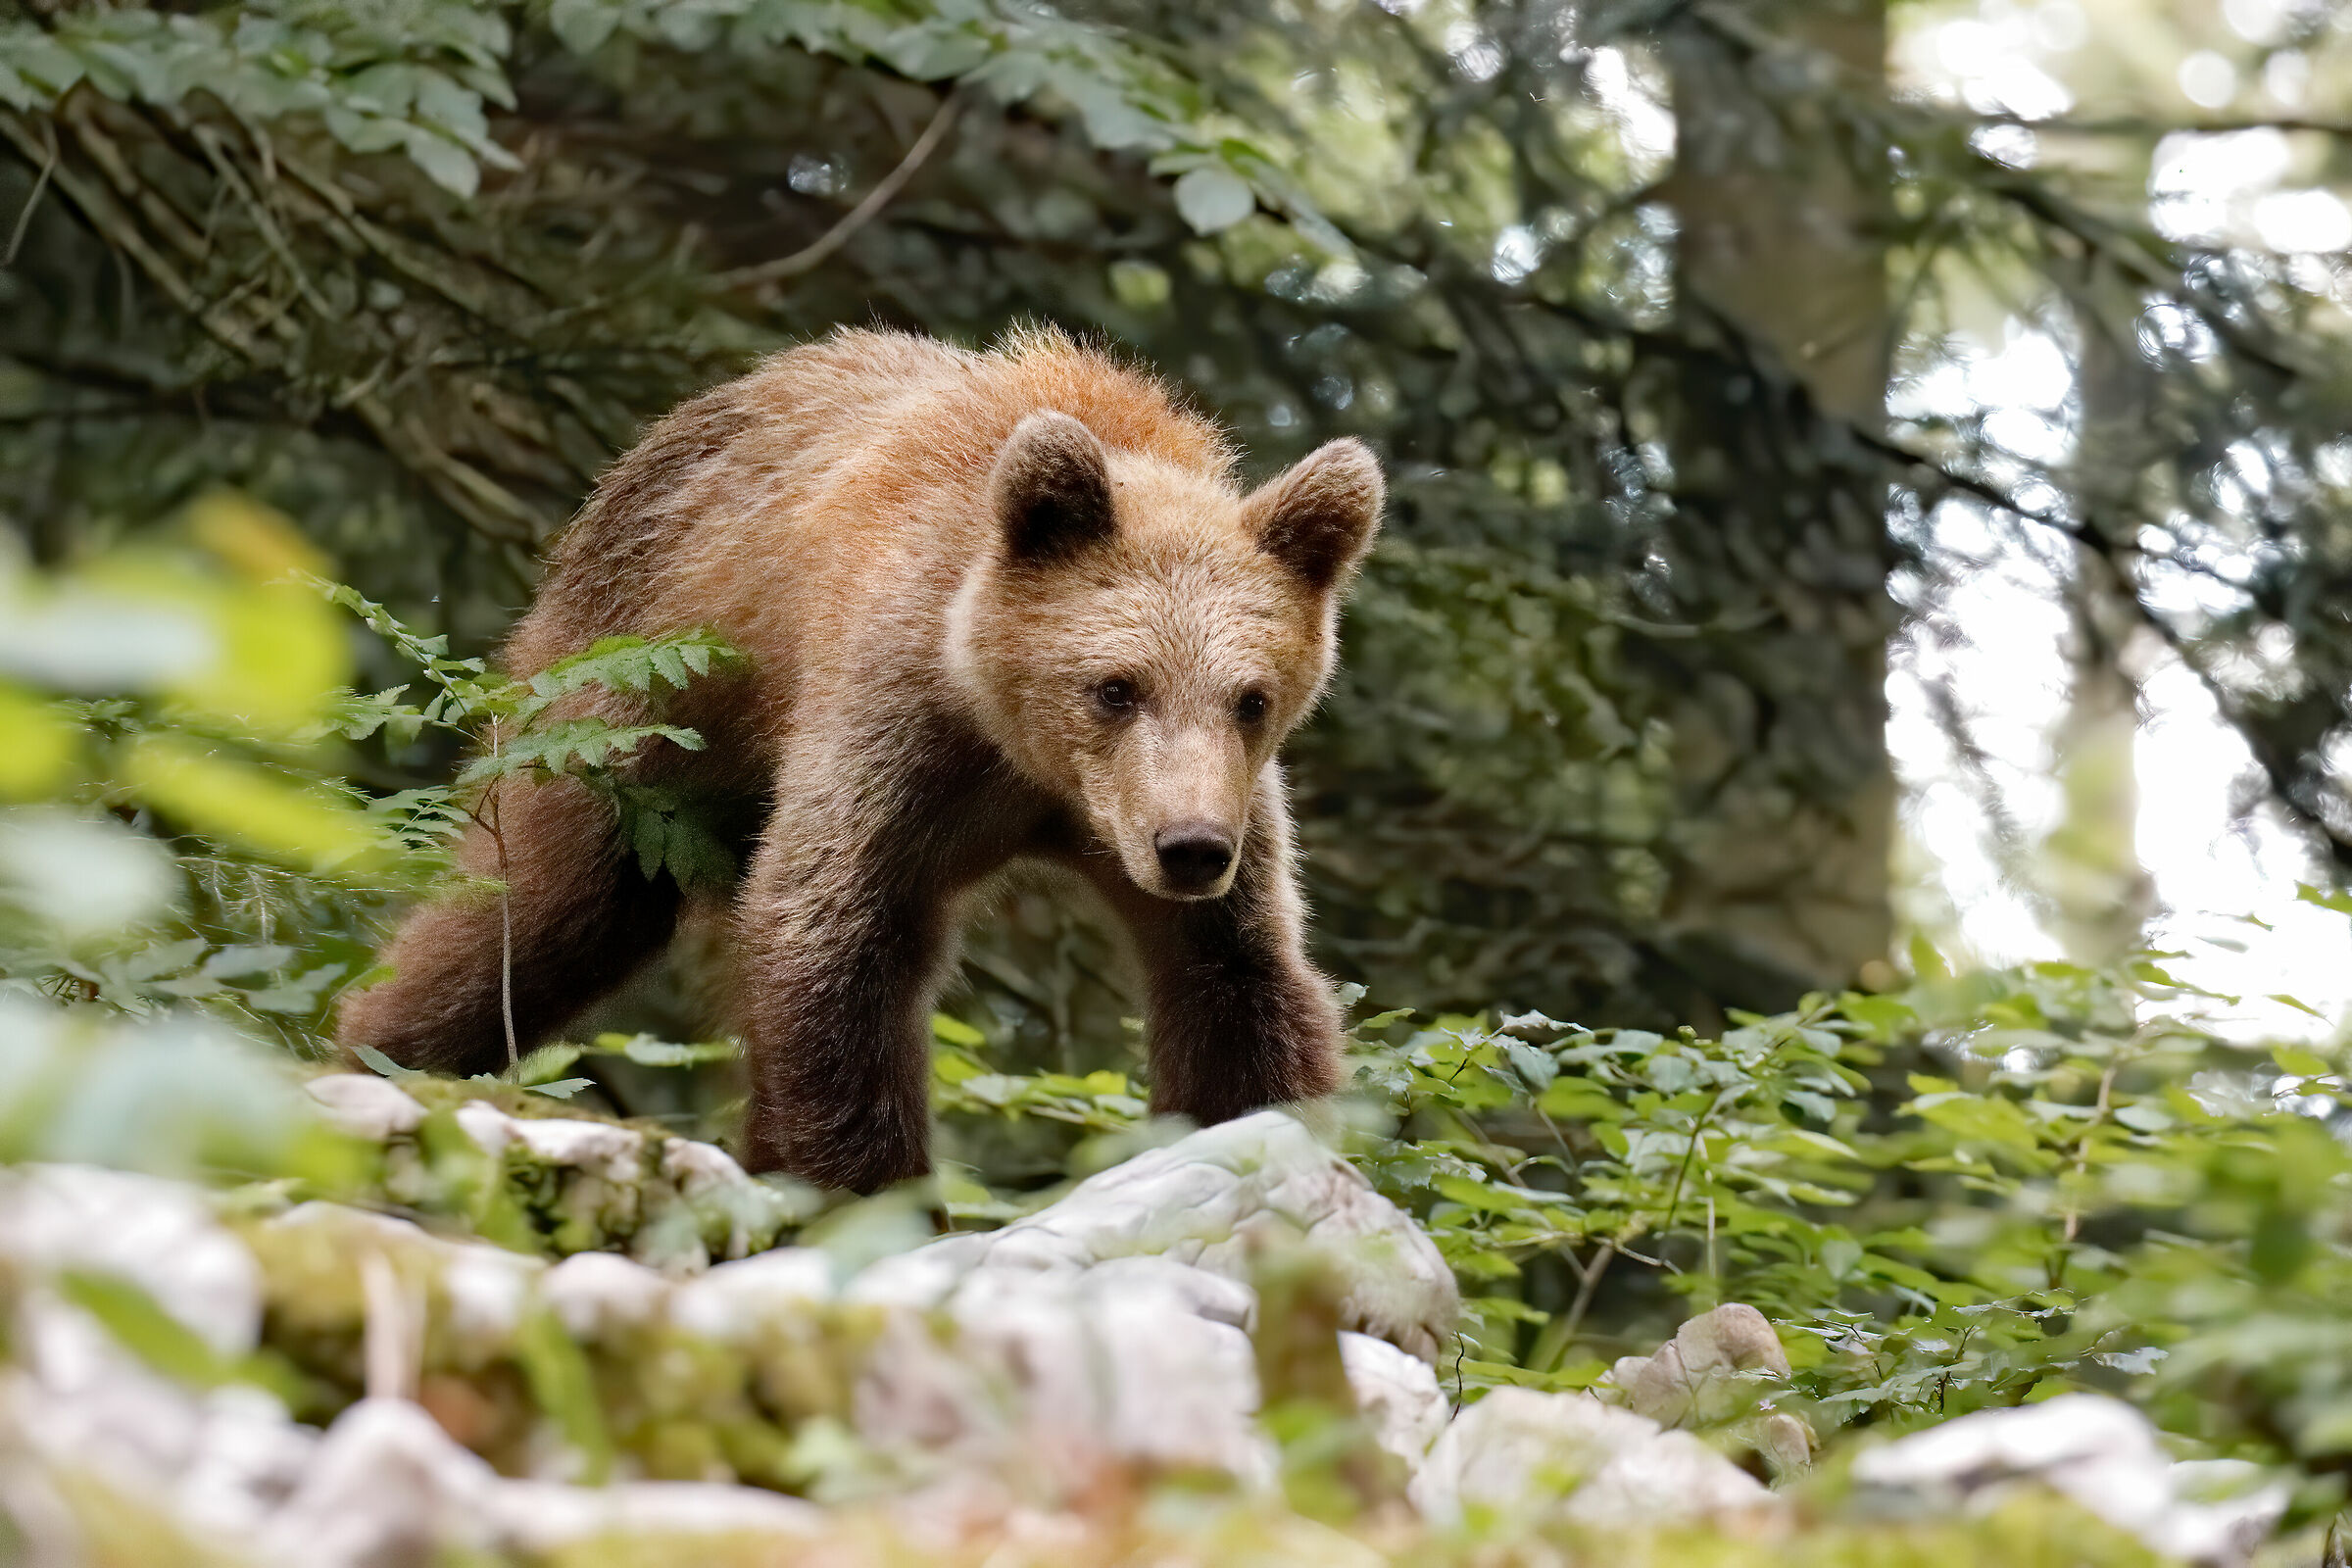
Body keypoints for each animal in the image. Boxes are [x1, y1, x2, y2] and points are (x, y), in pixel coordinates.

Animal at [337, 325, 1384, 1193]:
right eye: (1116, 686)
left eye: (1251, 699)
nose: (1190, 847)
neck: (1022, 755)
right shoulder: (893, 729)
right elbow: (833, 938)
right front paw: (871, 1194)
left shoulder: (1202, 819)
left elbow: (1235, 978)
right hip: (630, 714)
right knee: (539, 913)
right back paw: (373, 1053)